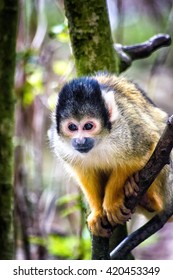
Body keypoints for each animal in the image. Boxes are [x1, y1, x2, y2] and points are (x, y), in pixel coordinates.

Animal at [49, 72, 173, 236]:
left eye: (88, 126)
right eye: (72, 127)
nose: (80, 141)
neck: (100, 140)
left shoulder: (128, 129)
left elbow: (145, 148)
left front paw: (112, 202)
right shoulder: (60, 145)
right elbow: (85, 173)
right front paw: (97, 212)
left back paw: (149, 199)